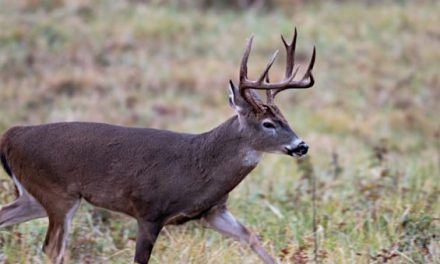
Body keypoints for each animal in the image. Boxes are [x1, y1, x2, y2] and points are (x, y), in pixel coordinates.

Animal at [0, 27, 316, 262]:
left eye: (284, 117)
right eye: (268, 124)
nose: (302, 145)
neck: (200, 165)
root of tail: (10, 136)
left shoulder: (213, 211)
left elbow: (252, 237)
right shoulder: (149, 210)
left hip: (34, 196)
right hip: (58, 194)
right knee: (52, 250)